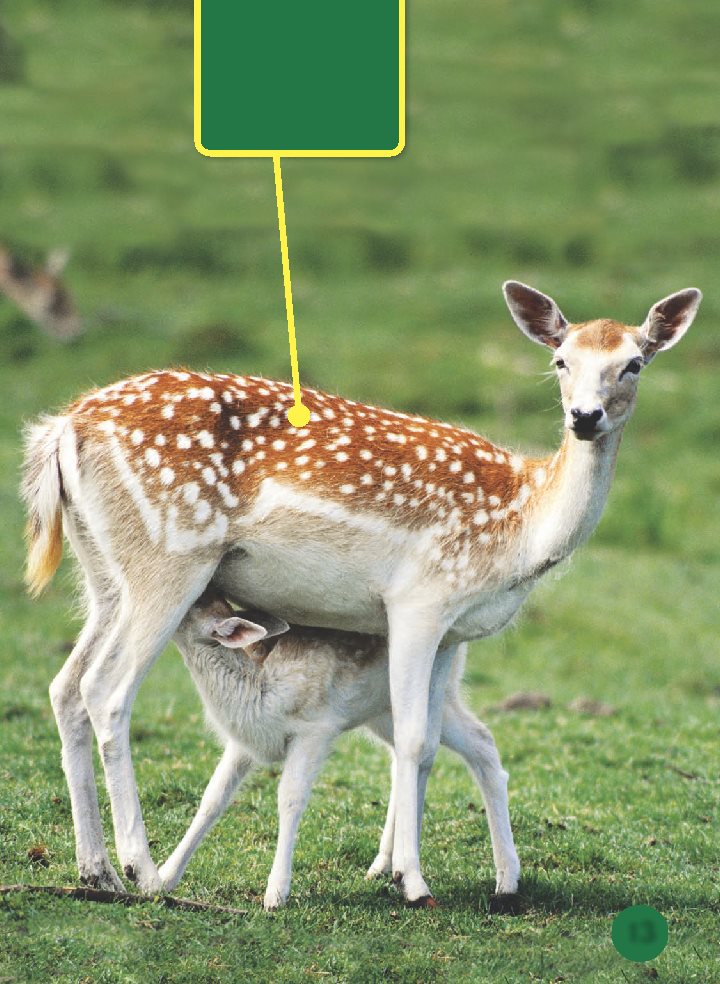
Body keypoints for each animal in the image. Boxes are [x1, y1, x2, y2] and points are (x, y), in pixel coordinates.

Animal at [23, 280, 704, 904]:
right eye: (561, 358)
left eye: (634, 362)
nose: (585, 418)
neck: (521, 533)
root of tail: (61, 430)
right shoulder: (421, 600)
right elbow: (413, 739)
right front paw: (413, 883)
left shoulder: (453, 633)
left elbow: (422, 745)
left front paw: (412, 871)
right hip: (169, 560)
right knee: (106, 692)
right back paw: (139, 867)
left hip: (104, 574)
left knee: (64, 687)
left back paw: (95, 871)